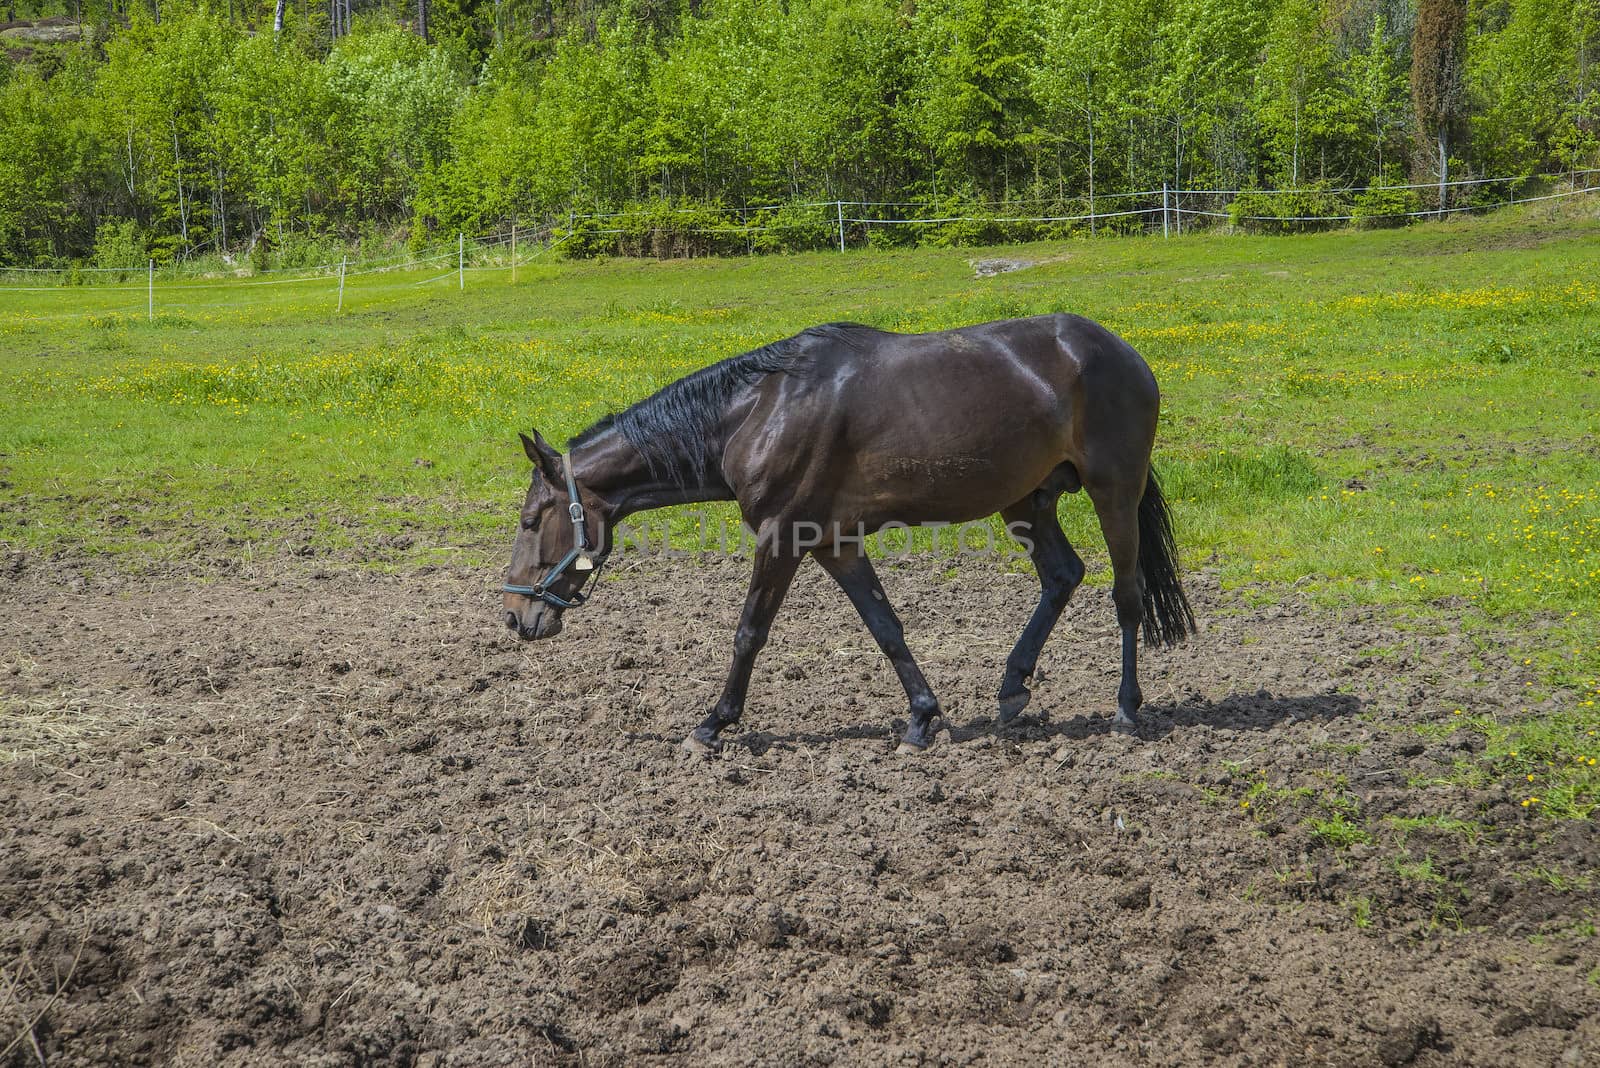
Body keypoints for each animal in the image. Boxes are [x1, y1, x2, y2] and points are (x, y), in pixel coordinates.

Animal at [499, 313, 1190, 754]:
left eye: (532, 520)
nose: (514, 615)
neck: (759, 412)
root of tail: (1123, 352)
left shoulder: (782, 538)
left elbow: (749, 633)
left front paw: (714, 725)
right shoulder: (834, 543)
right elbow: (885, 626)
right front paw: (922, 718)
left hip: (1113, 491)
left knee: (1126, 595)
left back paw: (1127, 709)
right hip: (1028, 500)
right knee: (1062, 576)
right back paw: (1013, 686)